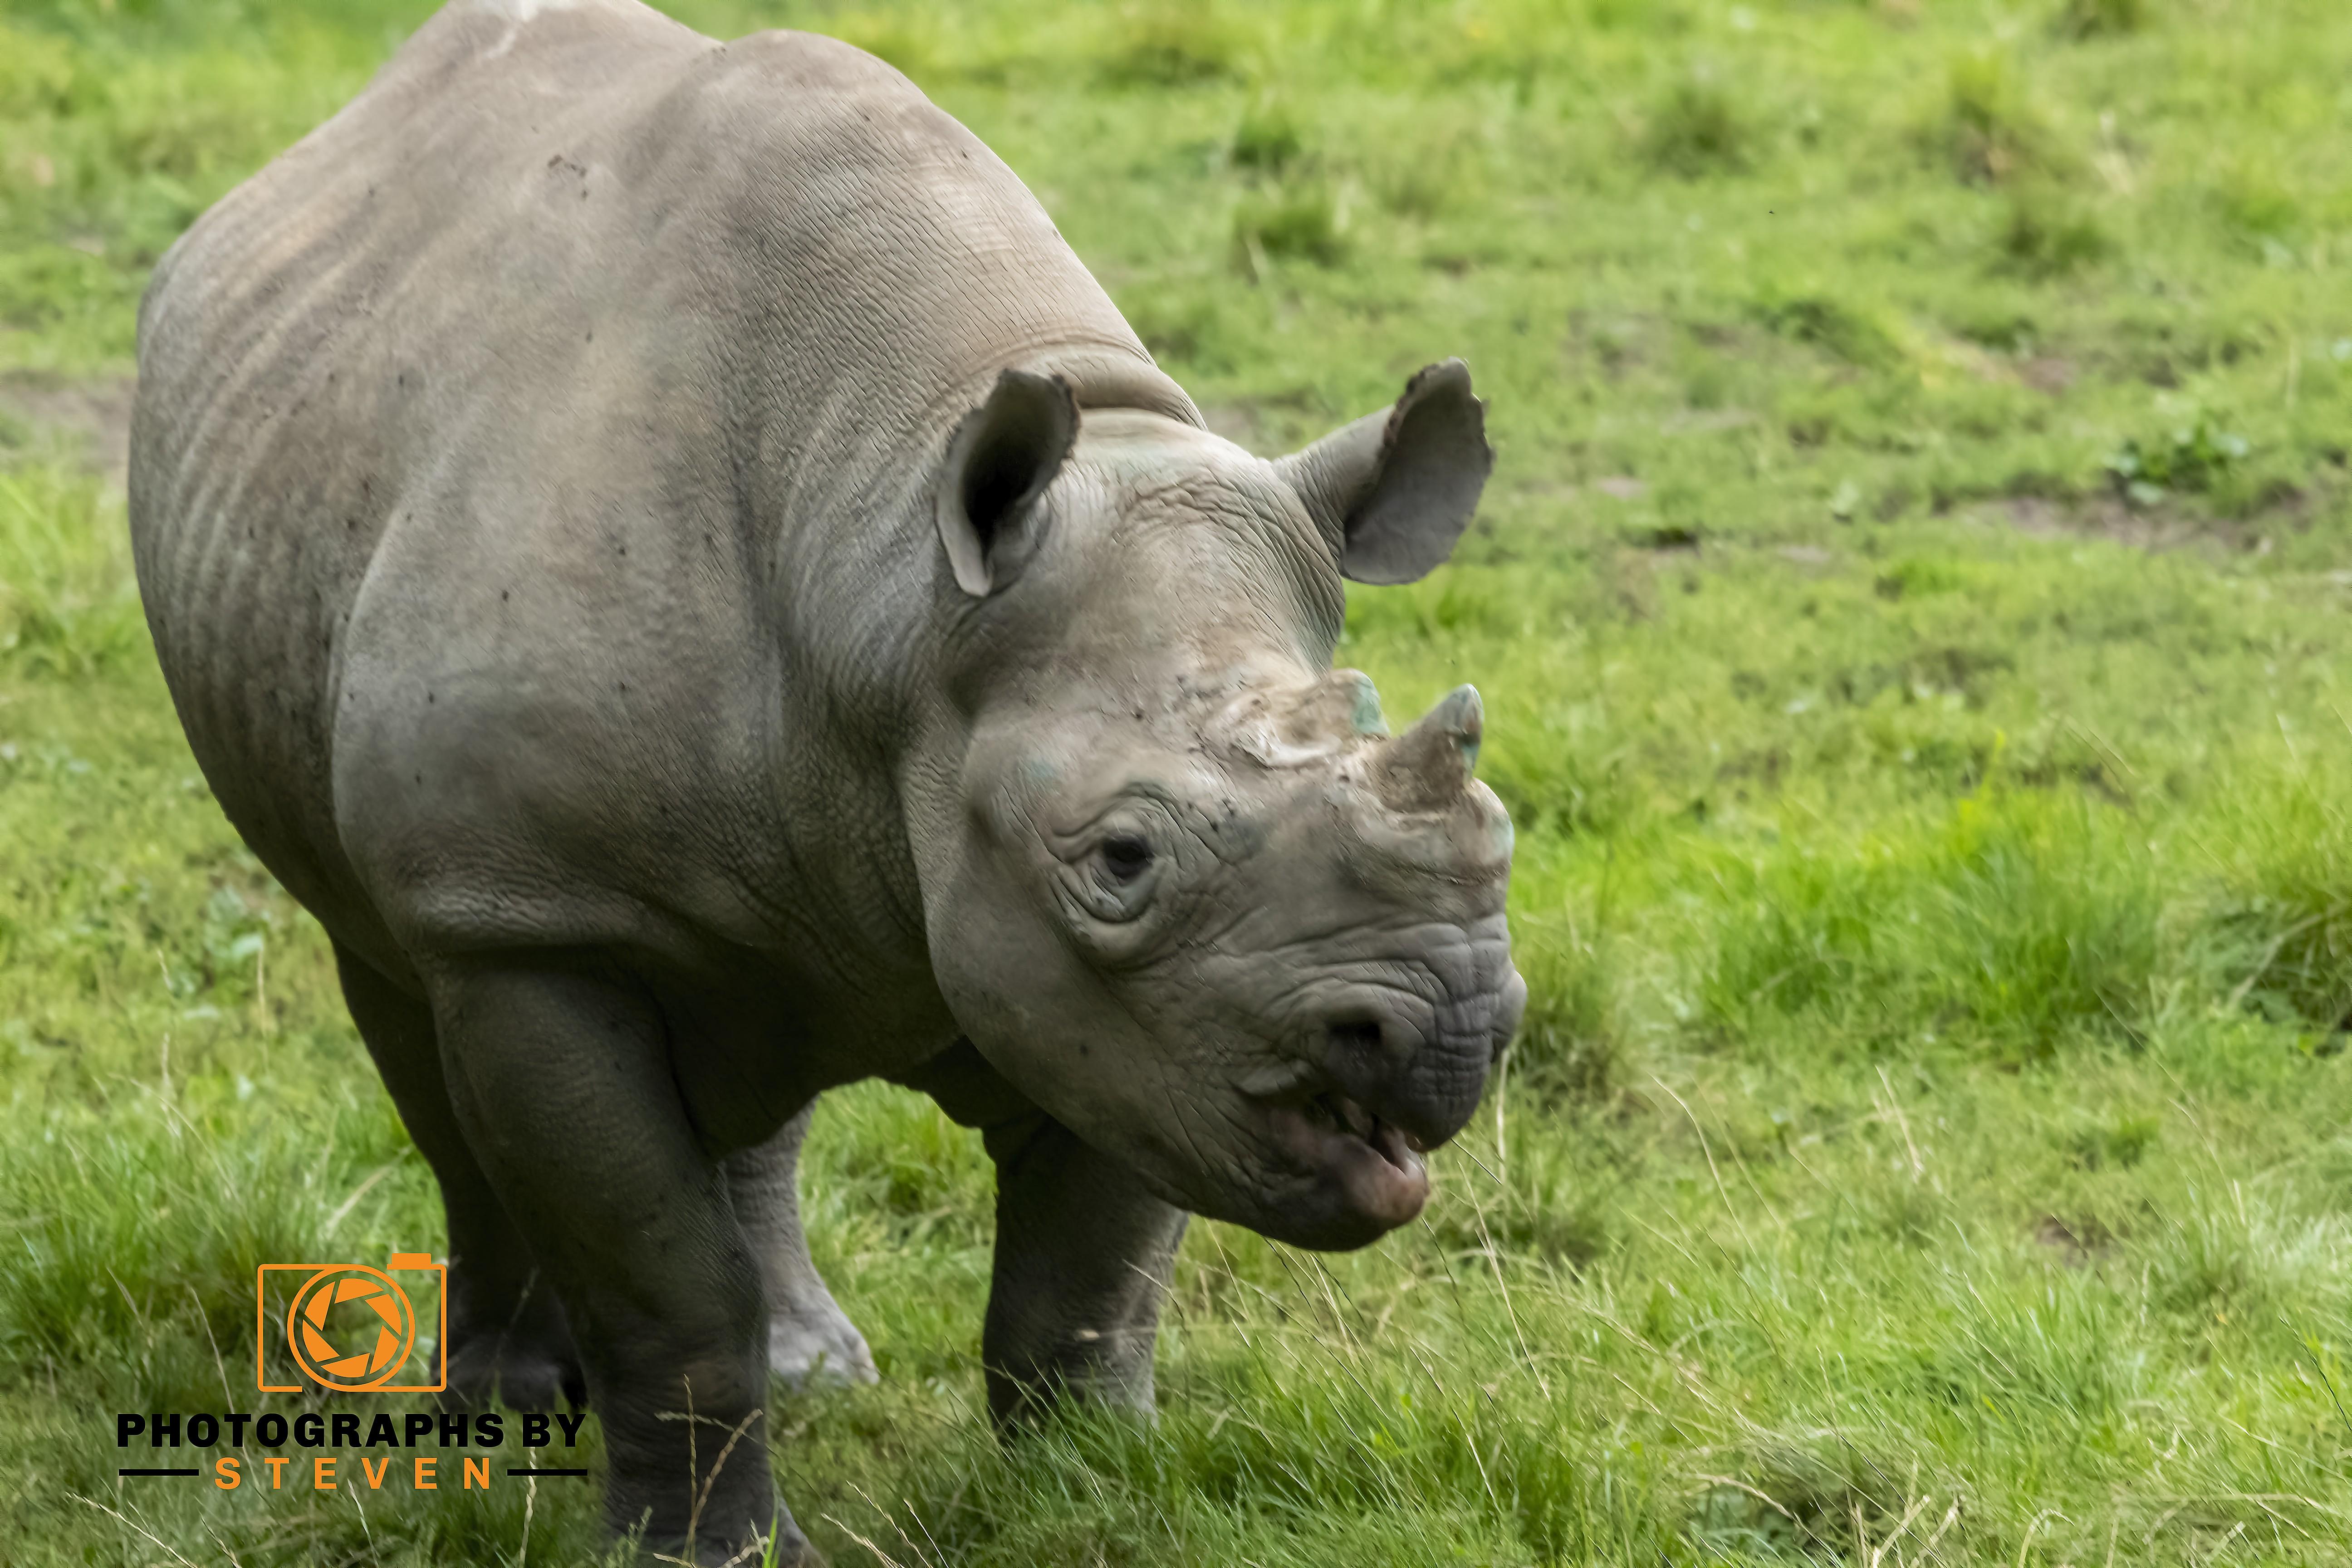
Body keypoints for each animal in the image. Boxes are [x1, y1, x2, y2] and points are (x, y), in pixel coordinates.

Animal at [128, 0, 1522, 1559]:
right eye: (1120, 859)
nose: (1454, 1024)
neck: (890, 584)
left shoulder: (1134, 1011)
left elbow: (1091, 1282)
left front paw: (1090, 1496)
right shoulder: (523, 912)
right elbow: (663, 1275)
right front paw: (708, 1554)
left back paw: (812, 1371)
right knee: (408, 1010)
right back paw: (503, 1409)